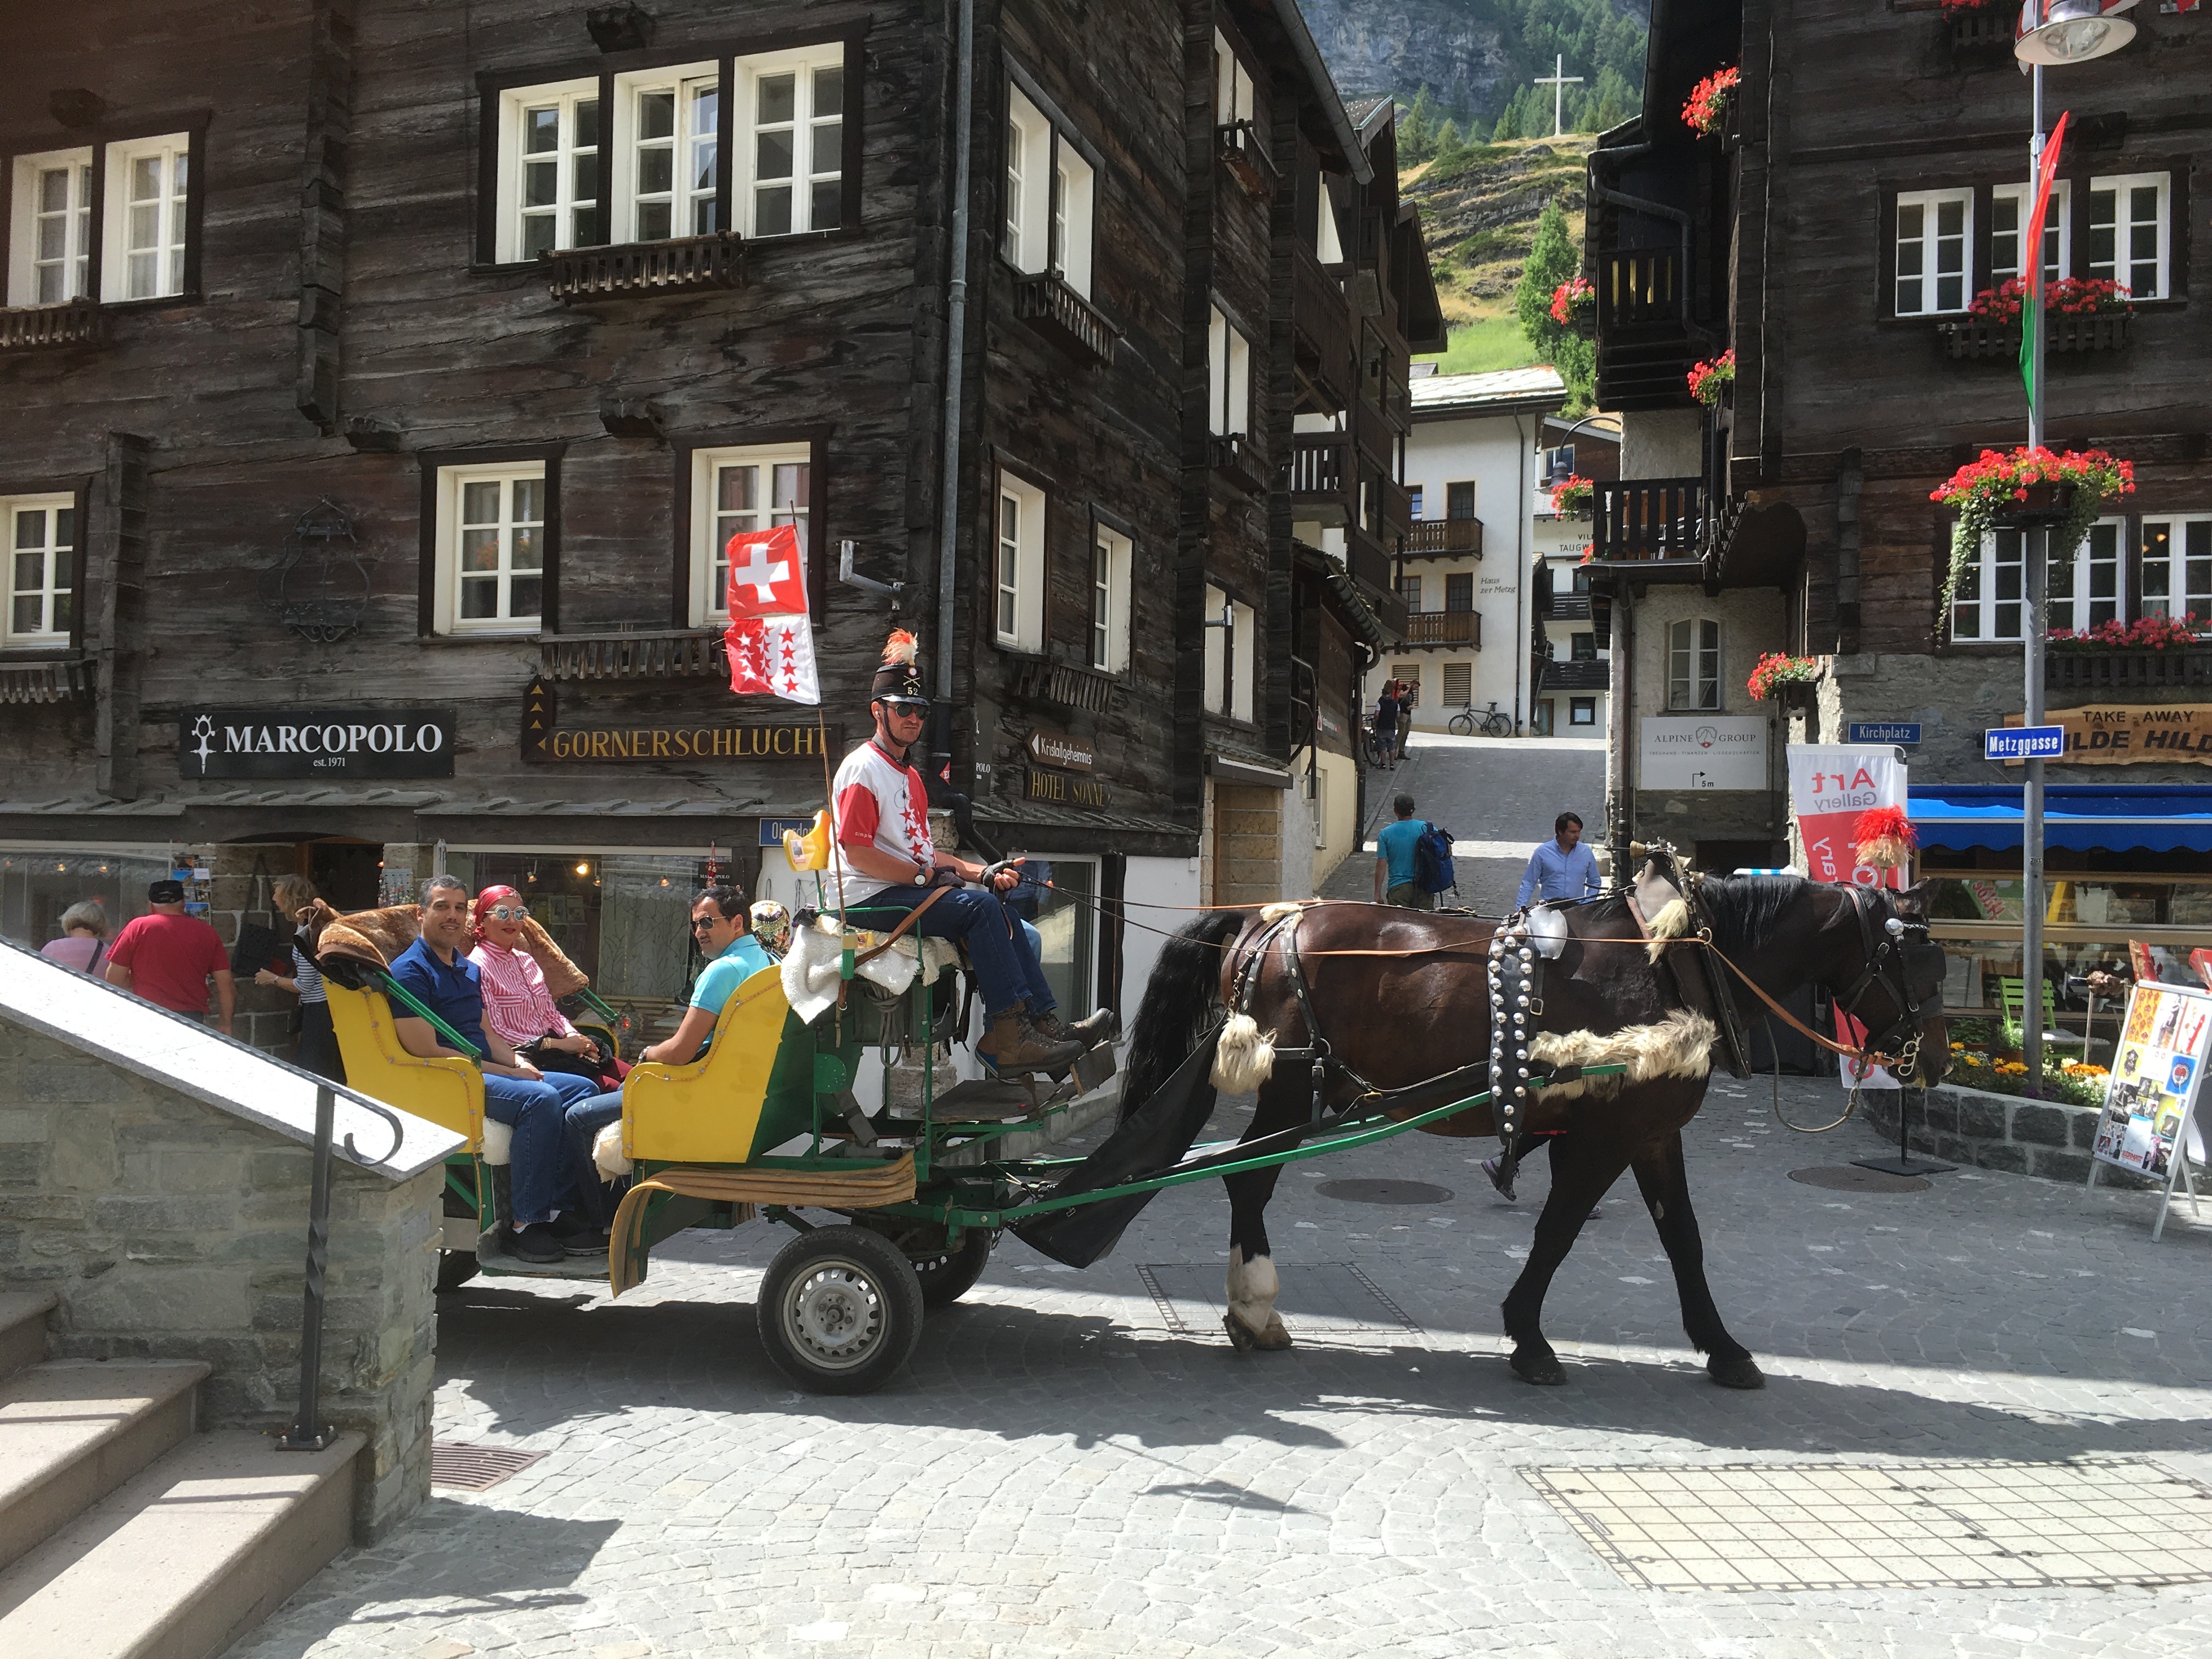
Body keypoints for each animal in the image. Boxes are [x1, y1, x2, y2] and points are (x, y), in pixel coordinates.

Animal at [1115, 876, 1946, 1398]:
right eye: (1923, 964)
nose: (1932, 1061)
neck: (1675, 965)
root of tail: (1268, 918)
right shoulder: (1607, 1134)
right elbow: (1559, 1230)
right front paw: (1530, 1338)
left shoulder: (1651, 1133)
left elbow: (1684, 1240)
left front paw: (1724, 1348)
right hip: (1290, 1087)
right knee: (1247, 1178)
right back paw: (1254, 1306)